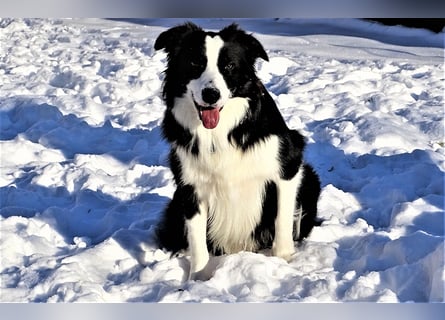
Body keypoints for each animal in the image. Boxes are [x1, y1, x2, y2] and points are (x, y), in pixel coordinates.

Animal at [153, 22, 320, 280]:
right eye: (195, 63)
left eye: (229, 66)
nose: (211, 94)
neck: (220, 133)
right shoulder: (190, 186)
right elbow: (197, 241)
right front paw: (198, 279)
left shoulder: (288, 166)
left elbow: (282, 220)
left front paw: (283, 261)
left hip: (310, 179)